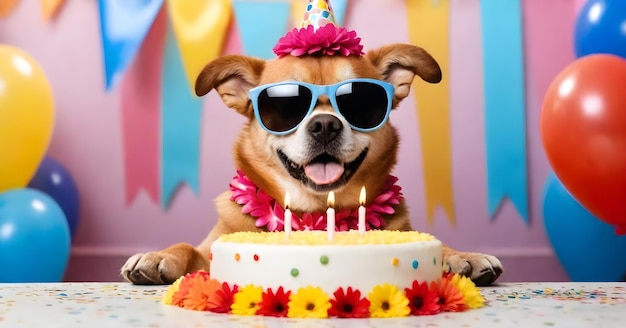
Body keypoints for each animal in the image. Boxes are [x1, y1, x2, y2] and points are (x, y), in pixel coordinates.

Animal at [120, 43, 502, 288]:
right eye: (284, 105)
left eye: (361, 101)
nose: (325, 125)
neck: (314, 212)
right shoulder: (211, 248)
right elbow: (187, 248)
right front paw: (157, 257)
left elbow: (439, 245)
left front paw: (462, 256)